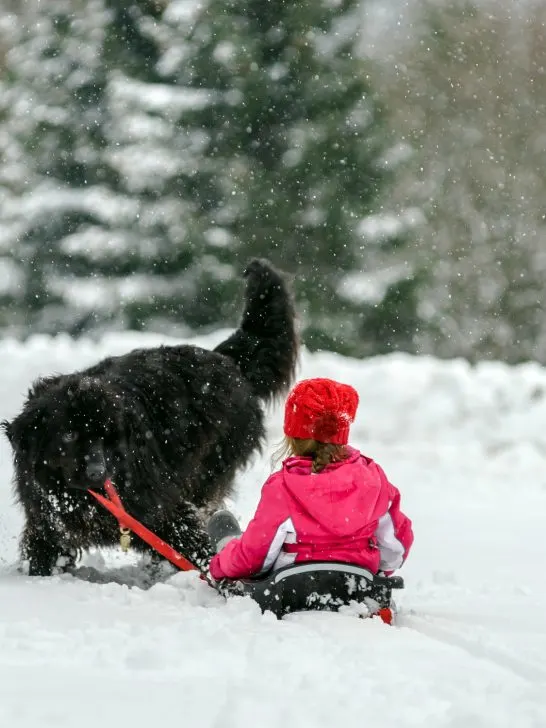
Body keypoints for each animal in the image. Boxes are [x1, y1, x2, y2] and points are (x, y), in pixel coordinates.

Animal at [1, 258, 298, 576]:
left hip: (210, 469)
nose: (97, 472)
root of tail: (227, 360)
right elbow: (43, 552)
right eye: (69, 434)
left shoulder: (163, 511)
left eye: (106, 437)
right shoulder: (46, 521)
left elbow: (194, 547)